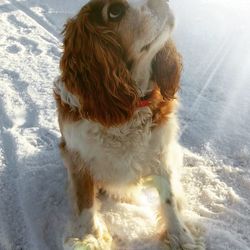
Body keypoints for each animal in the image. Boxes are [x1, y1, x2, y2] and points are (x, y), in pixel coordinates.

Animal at [53, 0, 202, 250]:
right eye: (115, 11)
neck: (131, 103)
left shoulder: (160, 150)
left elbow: (169, 196)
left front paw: (180, 236)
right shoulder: (77, 156)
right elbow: (85, 199)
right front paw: (89, 235)